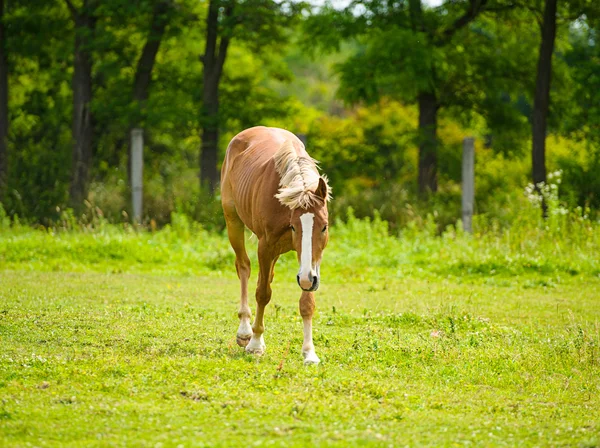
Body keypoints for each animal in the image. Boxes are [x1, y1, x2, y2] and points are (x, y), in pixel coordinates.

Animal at [221, 125, 332, 364]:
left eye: (324, 227)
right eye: (294, 227)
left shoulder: (310, 263)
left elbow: (307, 301)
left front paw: (309, 352)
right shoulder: (266, 247)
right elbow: (263, 293)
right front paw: (255, 344)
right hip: (233, 221)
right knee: (244, 268)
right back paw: (245, 331)